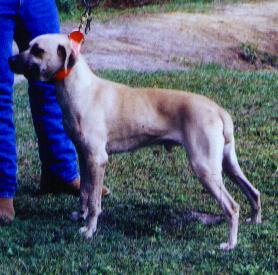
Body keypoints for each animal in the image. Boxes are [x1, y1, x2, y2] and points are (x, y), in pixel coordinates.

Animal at [8, 33, 260, 251]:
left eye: (38, 50)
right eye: (27, 45)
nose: (10, 60)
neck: (82, 89)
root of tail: (218, 110)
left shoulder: (98, 159)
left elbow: (94, 202)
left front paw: (89, 230)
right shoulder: (84, 156)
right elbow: (85, 192)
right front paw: (80, 216)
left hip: (205, 168)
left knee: (232, 207)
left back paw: (230, 244)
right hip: (227, 164)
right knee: (254, 192)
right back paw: (254, 220)